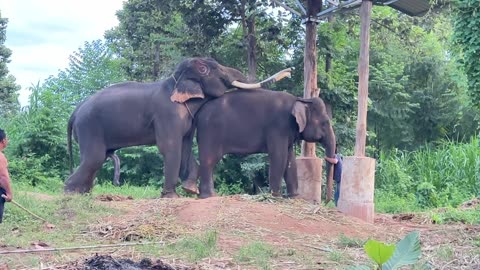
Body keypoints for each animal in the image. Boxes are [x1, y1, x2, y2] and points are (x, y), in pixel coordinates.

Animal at [65, 57, 290, 197]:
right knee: (94, 158)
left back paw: (83, 193)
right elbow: (170, 147)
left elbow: (185, 147)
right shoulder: (167, 114)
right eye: (205, 69)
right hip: (89, 127)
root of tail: (75, 111)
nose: (288, 72)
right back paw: (70, 193)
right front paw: (171, 196)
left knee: (97, 159)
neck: (173, 81)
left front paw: (190, 190)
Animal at [192, 88, 338, 198]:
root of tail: (199, 113)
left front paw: (294, 197)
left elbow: (290, 158)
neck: (300, 99)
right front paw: (275, 196)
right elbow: (279, 156)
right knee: (209, 160)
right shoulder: (278, 126)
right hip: (210, 132)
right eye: (325, 122)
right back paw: (209, 196)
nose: (327, 201)